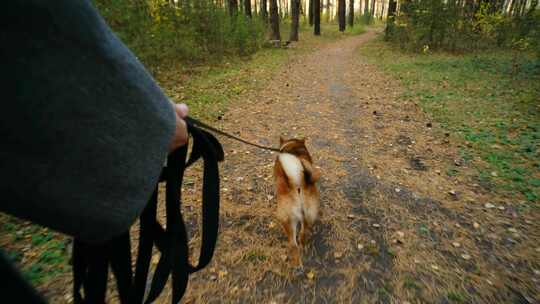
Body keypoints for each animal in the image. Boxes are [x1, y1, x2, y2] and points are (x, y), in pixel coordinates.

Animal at [274, 136, 320, 266]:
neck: (292, 146)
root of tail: (298, 183)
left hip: (287, 219)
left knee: (293, 244)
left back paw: (296, 265)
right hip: (308, 215)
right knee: (303, 235)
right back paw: (303, 249)